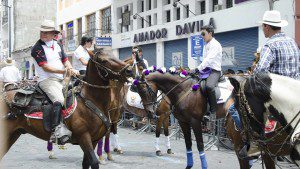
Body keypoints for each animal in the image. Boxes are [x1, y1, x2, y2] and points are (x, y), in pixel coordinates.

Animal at [0, 49, 131, 169]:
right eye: (103, 60)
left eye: (114, 55)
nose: (129, 70)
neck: (90, 101)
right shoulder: (84, 137)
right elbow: (94, 162)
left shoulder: (94, 139)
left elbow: (86, 163)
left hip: (14, 134)